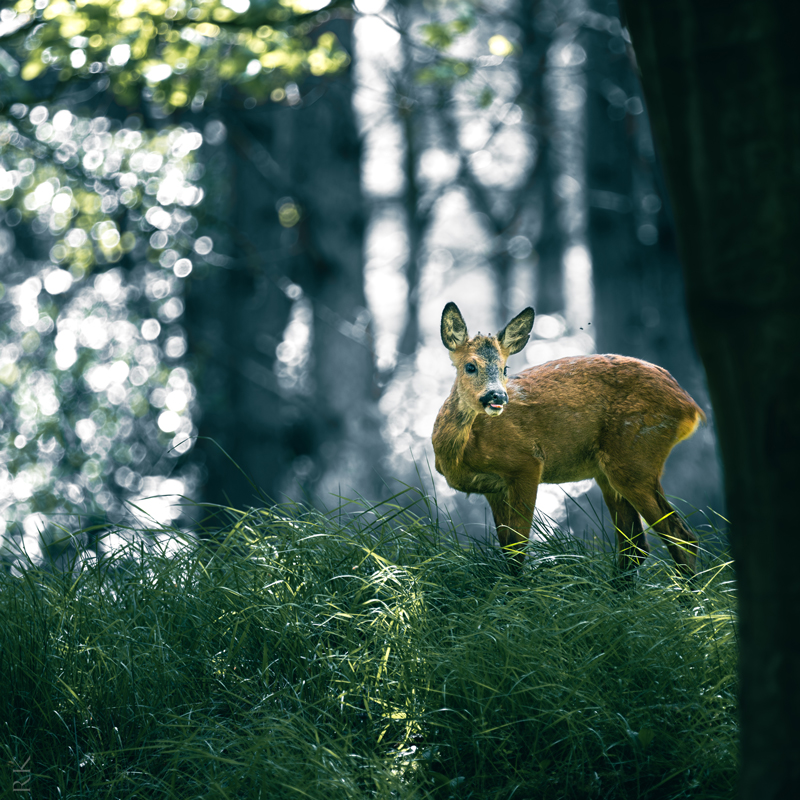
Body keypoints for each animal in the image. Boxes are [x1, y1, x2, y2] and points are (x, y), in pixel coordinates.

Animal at [431, 302, 705, 577]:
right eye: (470, 366)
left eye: (504, 368)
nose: (497, 396)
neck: (462, 453)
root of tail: (689, 406)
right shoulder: (493, 489)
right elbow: (507, 549)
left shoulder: (526, 463)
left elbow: (517, 550)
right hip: (611, 470)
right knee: (635, 545)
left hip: (636, 454)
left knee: (680, 535)